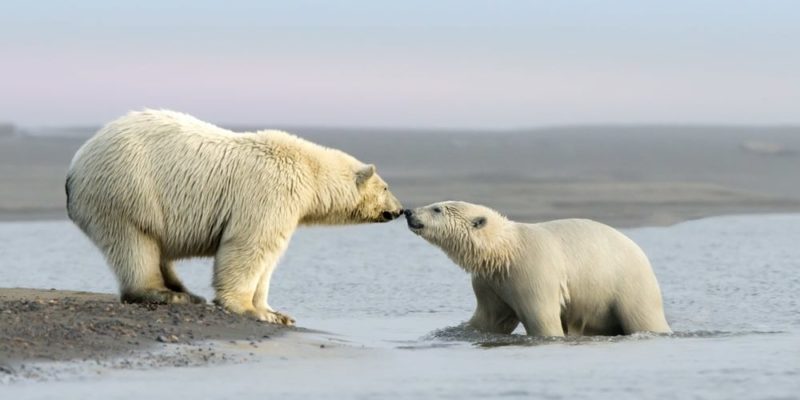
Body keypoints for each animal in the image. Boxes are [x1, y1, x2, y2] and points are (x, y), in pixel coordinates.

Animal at [67, 110, 406, 324]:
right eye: (386, 187)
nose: (400, 209)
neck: (309, 171)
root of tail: (74, 167)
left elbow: (270, 257)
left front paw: (276, 311)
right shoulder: (271, 191)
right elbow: (250, 245)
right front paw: (252, 311)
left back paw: (183, 290)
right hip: (126, 189)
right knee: (134, 242)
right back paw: (167, 294)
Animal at [404, 202, 672, 336]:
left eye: (437, 208)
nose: (408, 211)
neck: (506, 251)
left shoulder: (533, 271)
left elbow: (542, 319)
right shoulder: (492, 281)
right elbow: (488, 319)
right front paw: (455, 331)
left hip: (627, 283)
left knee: (642, 316)